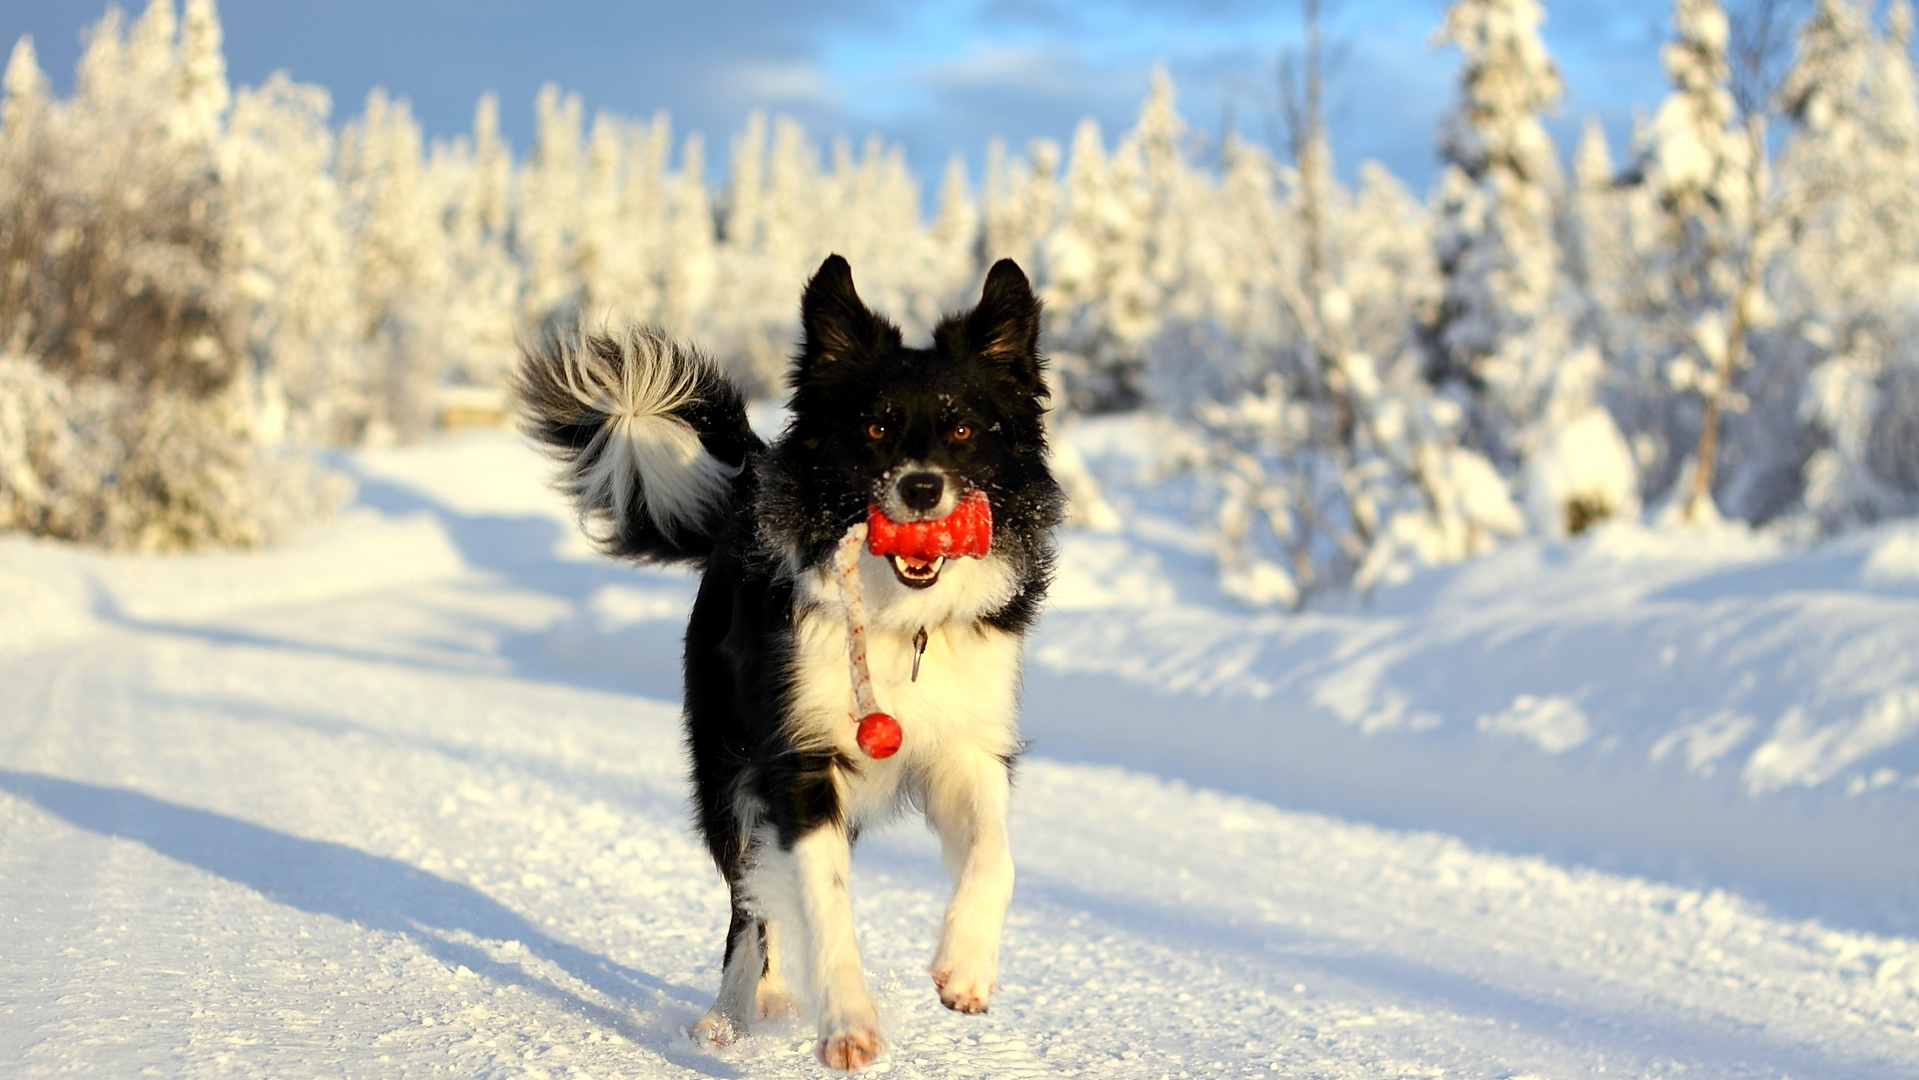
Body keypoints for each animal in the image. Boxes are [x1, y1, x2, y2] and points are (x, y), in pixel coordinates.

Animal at [518, 255, 1066, 1074]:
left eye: (964, 429)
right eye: (875, 427)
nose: (921, 488)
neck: (896, 623)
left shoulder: (965, 744)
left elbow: (995, 856)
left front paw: (965, 967)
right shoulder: (799, 759)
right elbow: (821, 898)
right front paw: (848, 1026)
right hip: (725, 767)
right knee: (750, 898)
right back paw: (731, 1014)